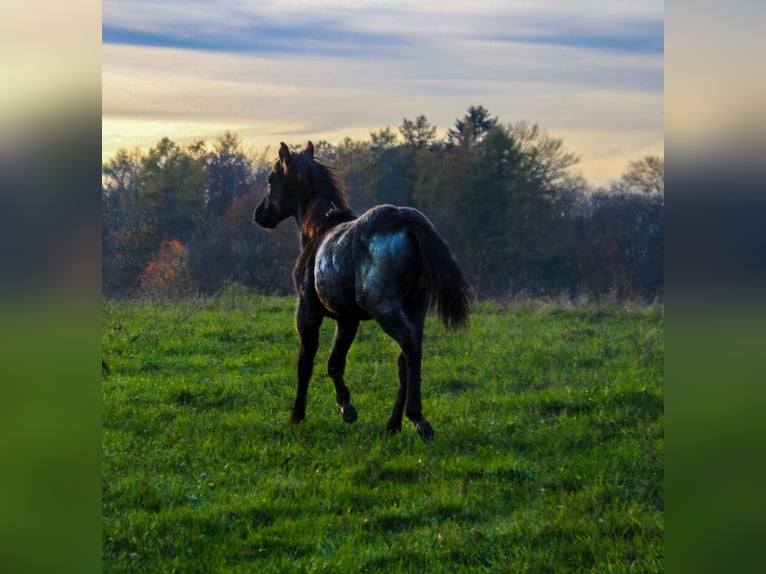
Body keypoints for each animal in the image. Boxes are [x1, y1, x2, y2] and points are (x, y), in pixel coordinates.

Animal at [253, 141, 471, 441]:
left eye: (270, 179)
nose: (259, 215)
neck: (319, 230)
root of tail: (405, 219)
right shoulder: (348, 319)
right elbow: (335, 362)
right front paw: (346, 406)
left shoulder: (308, 313)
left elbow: (305, 364)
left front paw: (297, 416)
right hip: (416, 308)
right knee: (406, 359)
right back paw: (393, 425)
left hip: (385, 309)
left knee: (410, 346)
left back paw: (417, 418)